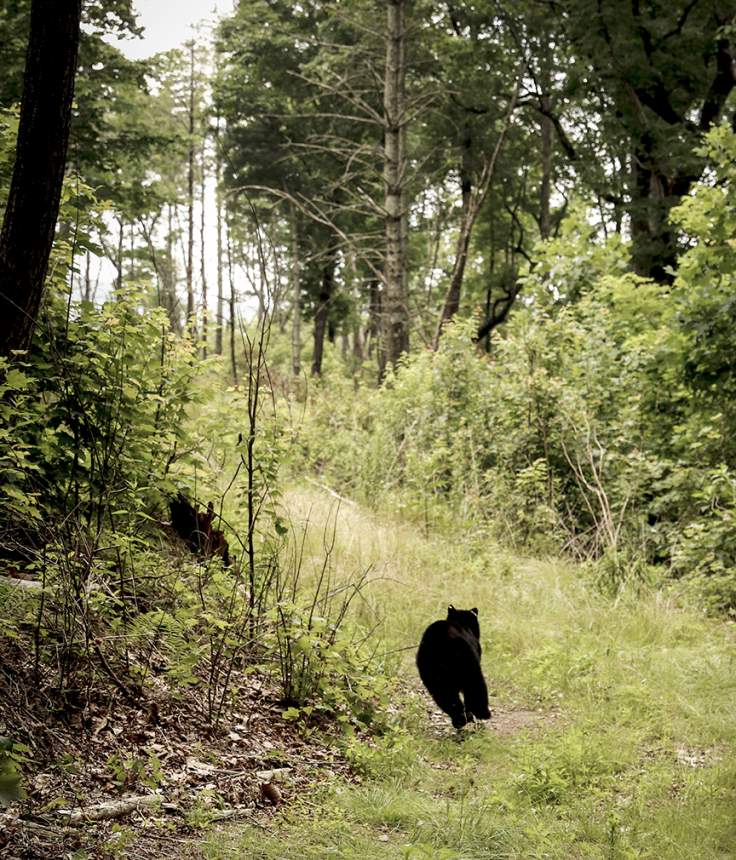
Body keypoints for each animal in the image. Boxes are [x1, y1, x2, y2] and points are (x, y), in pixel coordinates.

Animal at [416, 600, 492, 728]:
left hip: (435, 679)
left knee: (449, 700)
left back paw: (460, 721)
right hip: (471, 671)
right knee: (476, 690)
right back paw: (482, 714)